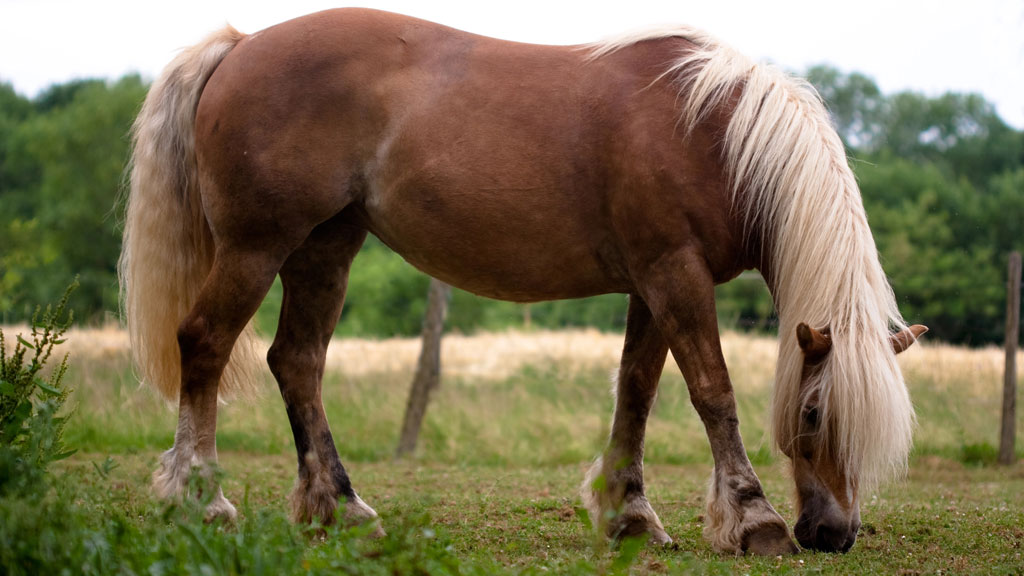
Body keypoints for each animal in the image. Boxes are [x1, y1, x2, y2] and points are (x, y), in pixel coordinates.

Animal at [119, 8, 929, 553]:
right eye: (815, 415)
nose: (834, 533)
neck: (711, 134)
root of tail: (241, 46)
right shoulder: (676, 275)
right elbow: (712, 393)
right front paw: (754, 518)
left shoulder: (650, 285)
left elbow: (637, 392)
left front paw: (629, 514)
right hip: (256, 248)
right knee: (205, 344)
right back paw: (201, 499)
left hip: (326, 248)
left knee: (297, 363)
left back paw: (339, 507)